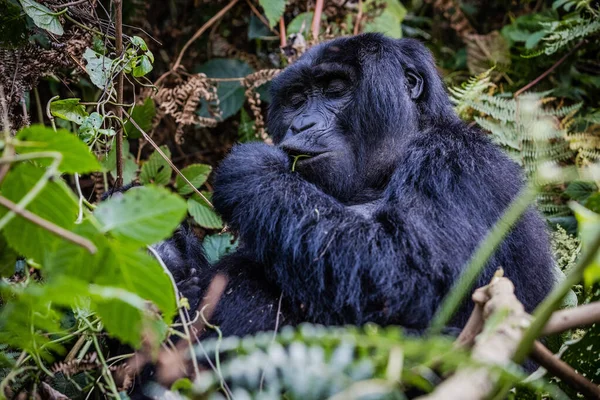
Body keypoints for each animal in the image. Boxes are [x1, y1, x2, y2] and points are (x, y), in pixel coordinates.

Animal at [158, 32, 552, 338]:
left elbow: (413, 278)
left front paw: (254, 172)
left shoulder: (455, 162)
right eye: (297, 100)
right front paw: (170, 253)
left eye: (334, 89)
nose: (301, 124)